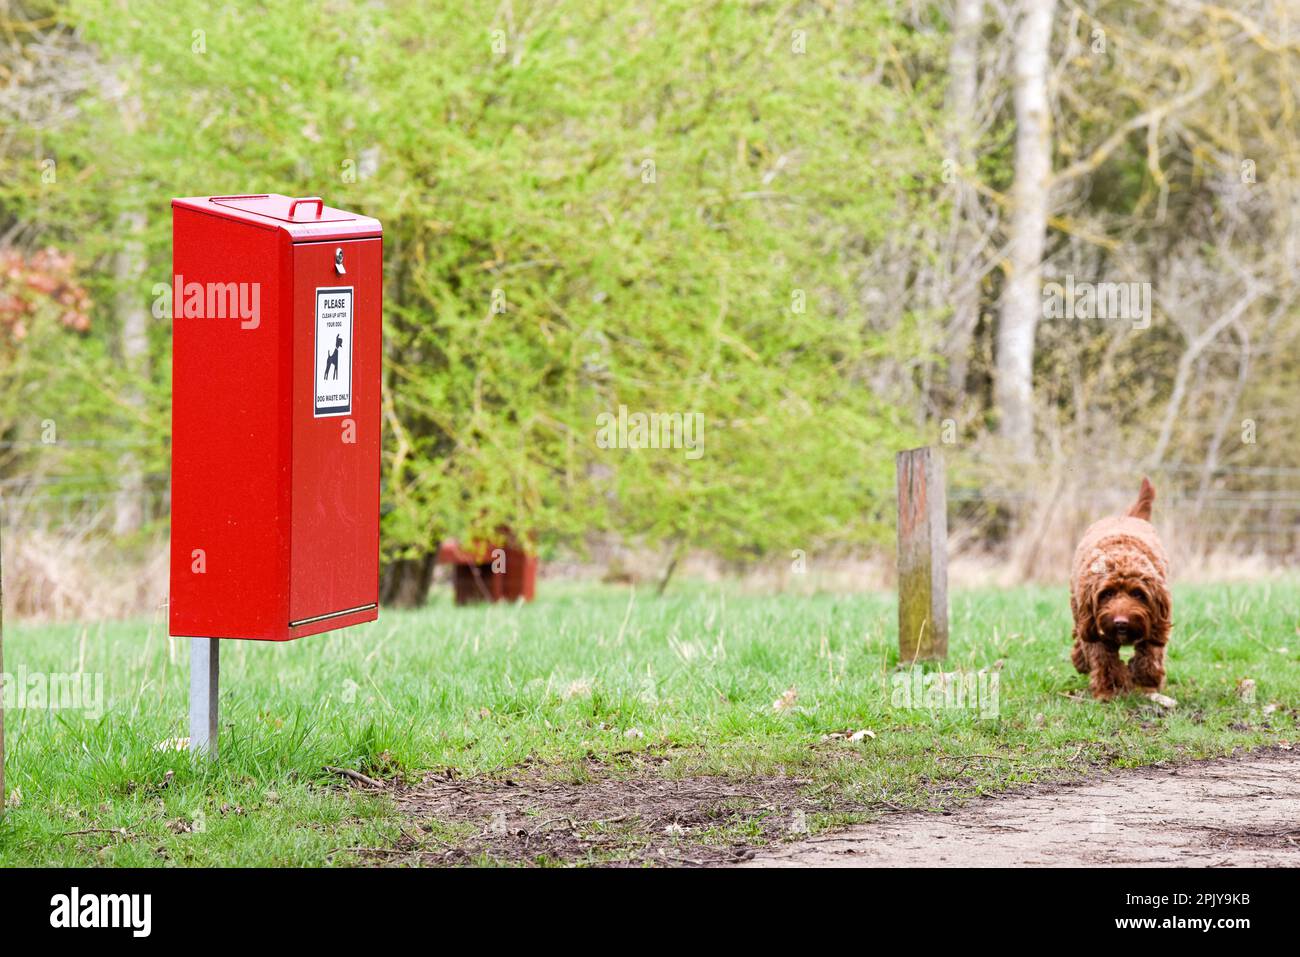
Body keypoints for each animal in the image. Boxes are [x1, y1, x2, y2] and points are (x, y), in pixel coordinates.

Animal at [1071, 478, 1175, 702]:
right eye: (1107, 594)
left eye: (1138, 594)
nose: (1121, 622)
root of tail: (1127, 517)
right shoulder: (1094, 627)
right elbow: (1104, 659)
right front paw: (1110, 689)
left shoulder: (1156, 621)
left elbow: (1150, 654)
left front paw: (1145, 678)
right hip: (1079, 610)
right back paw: (1080, 660)